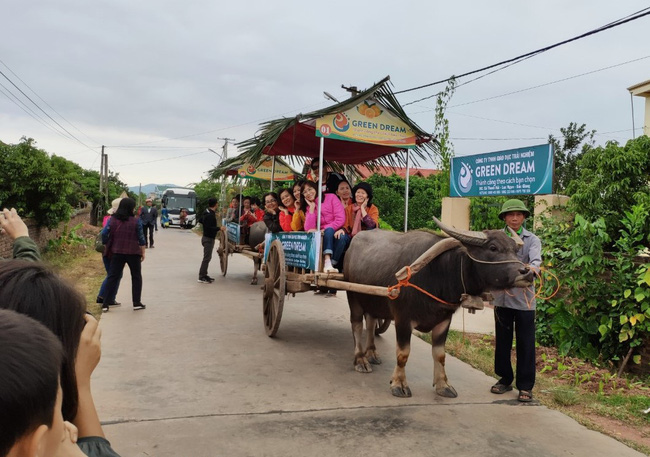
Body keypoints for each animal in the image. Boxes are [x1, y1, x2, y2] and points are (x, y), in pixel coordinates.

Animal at [344, 219, 532, 398]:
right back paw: (360, 360)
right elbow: (403, 353)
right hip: (354, 298)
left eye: (515, 250)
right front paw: (399, 384)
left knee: (370, 323)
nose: (527, 272)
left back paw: (372, 354)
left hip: (372, 301)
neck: (440, 272)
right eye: (493, 248)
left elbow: (440, 354)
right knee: (357, 325)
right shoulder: (402, 319)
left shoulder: (444, 320)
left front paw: (443, 385)